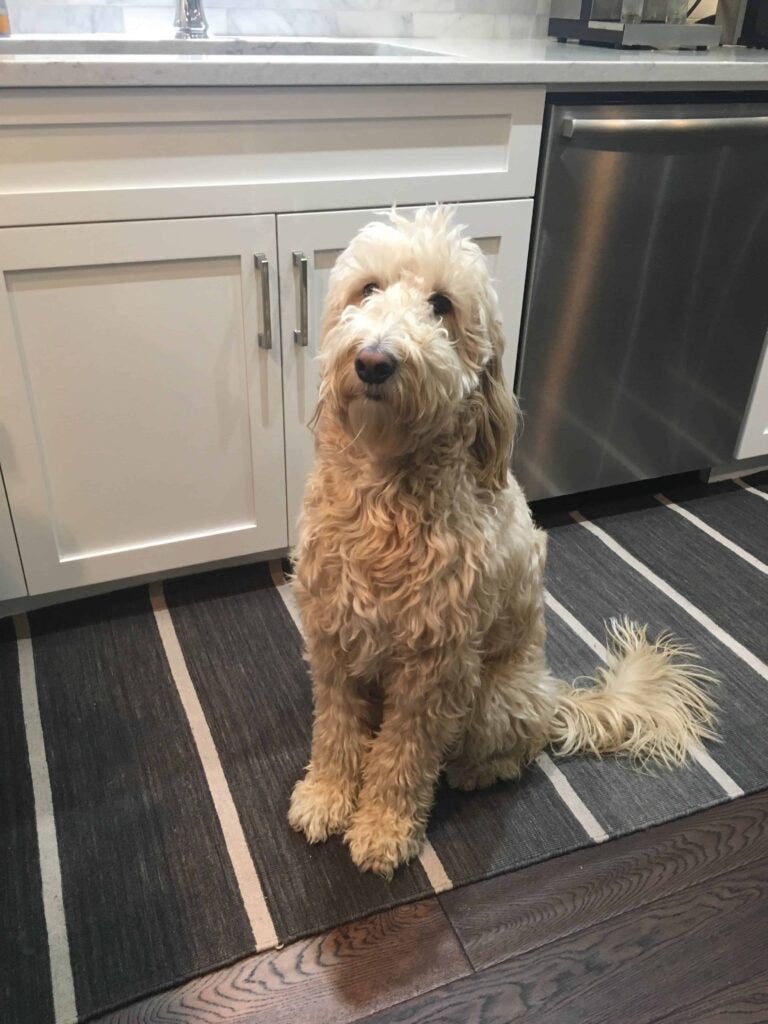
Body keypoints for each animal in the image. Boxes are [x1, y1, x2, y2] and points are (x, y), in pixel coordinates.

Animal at [286, 207, 716, 880]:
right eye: (368, 289)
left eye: (441, 305)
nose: (375, 362)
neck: (387, 497)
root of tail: (551, 696)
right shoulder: (332, 637)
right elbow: (335, 729)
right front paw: (327, 795)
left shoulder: (435, 668)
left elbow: (403, 757)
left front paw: (383, 828)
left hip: (488, 698)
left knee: (510, 751)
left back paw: (471, 771)